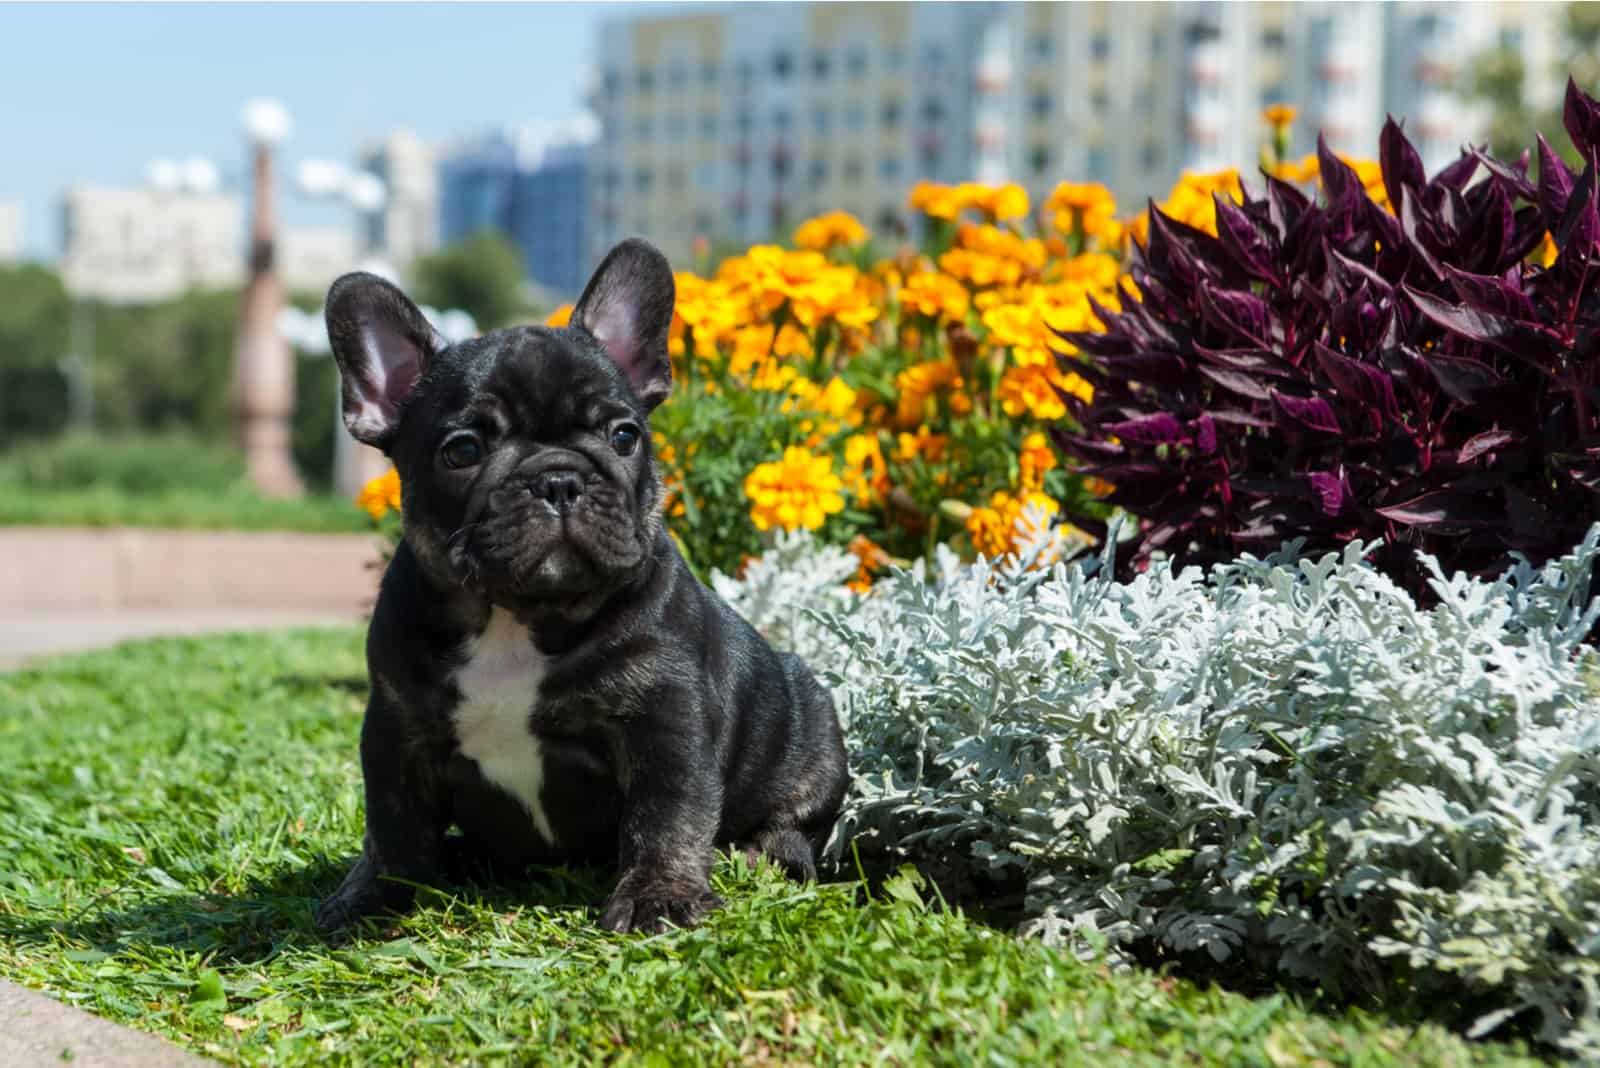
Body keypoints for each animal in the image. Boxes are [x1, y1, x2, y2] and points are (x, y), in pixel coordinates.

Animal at [316, 238, 857, 927]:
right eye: (462, 451)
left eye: (624, 436)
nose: (558, 479)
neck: (518, 618)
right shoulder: (395, 731)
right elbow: (392, 826)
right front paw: (376, 895)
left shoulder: (666, 723)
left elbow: (667, 818)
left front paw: (659, 895)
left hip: (813, 731)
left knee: (796, 822)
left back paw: (762, 854)